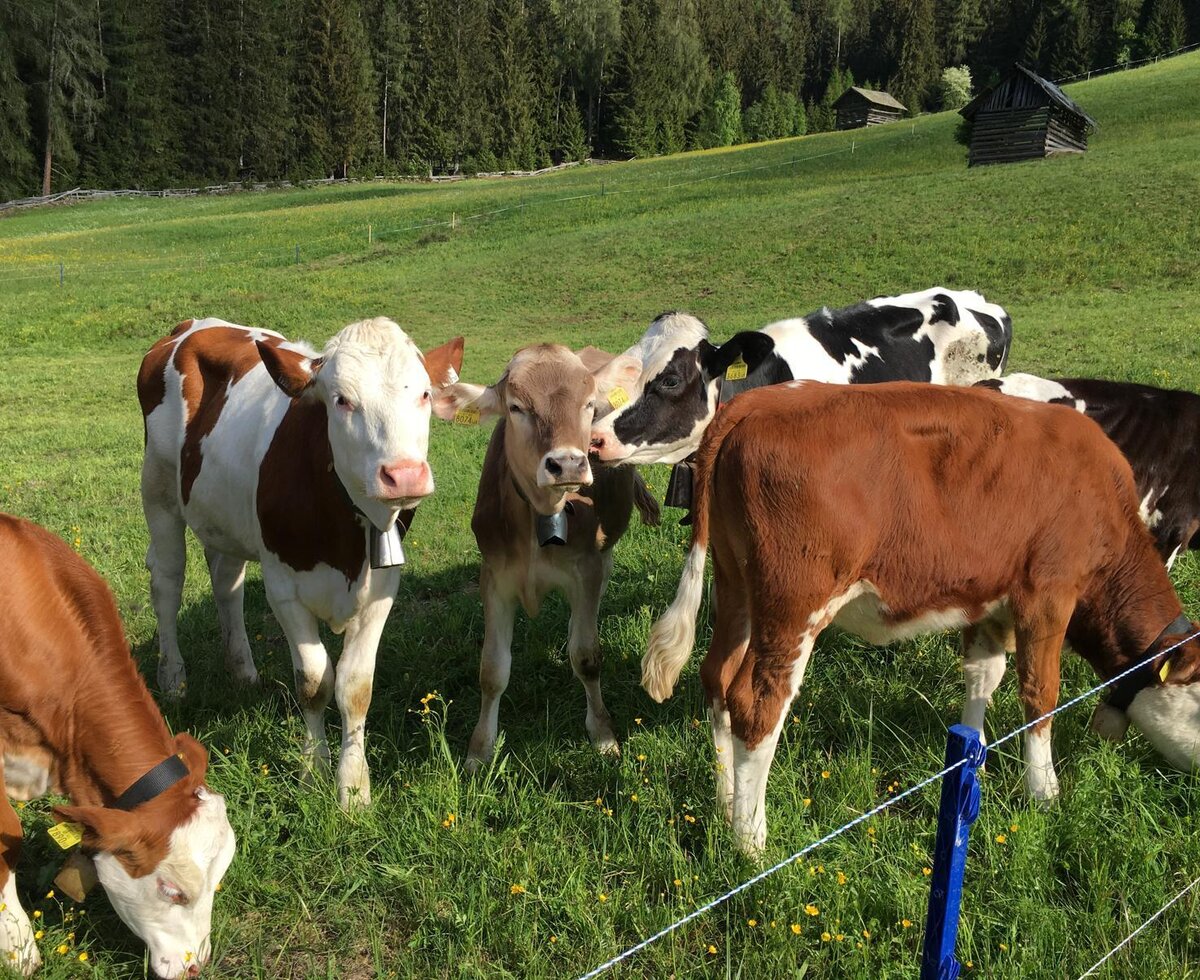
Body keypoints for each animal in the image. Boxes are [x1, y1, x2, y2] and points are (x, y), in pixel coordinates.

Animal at [138, 317, 464, 806]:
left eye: (424, 394)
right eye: (342, 399)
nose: (404, 475)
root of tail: (194, 324)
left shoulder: (381, 591)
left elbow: (355, 686)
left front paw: (353, 788)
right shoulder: (284, 589)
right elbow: (313, 682)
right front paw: (313, 774)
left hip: (224, 515)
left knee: (227, 583)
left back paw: (243, 670)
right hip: (158, 492)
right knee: (168, 582)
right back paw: (173, 678)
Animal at [431, 344, 648, 768]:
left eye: (589, 405)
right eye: (516, 407)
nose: (567, 464)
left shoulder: (586, 569)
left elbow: (587, 656)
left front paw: (602, 733)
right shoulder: (494, 577)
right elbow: (492, 670)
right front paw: (479, 750)